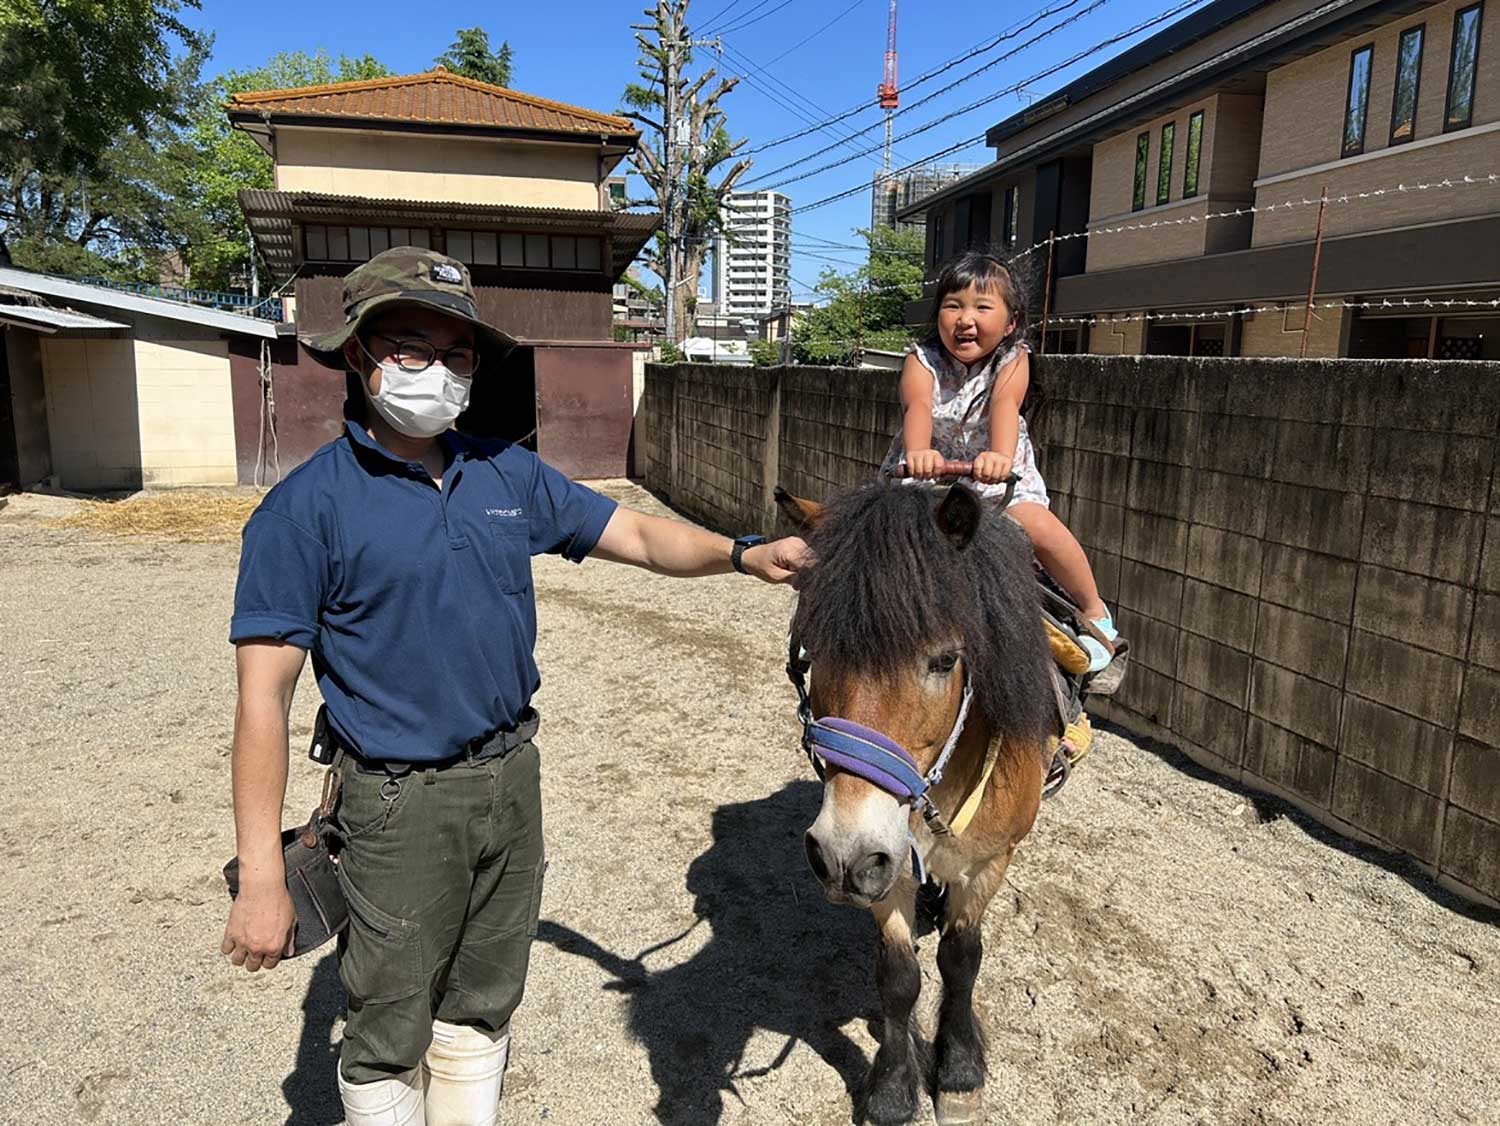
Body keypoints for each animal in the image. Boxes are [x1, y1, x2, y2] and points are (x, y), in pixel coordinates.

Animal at [786, 482, 1056, 1126]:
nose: (841, 854)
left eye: (944, 660)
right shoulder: (888, 869)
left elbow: (961, 959)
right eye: (814, 652)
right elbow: (898, 976)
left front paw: (957, 1072)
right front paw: (891, 1090)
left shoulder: (986, 862)